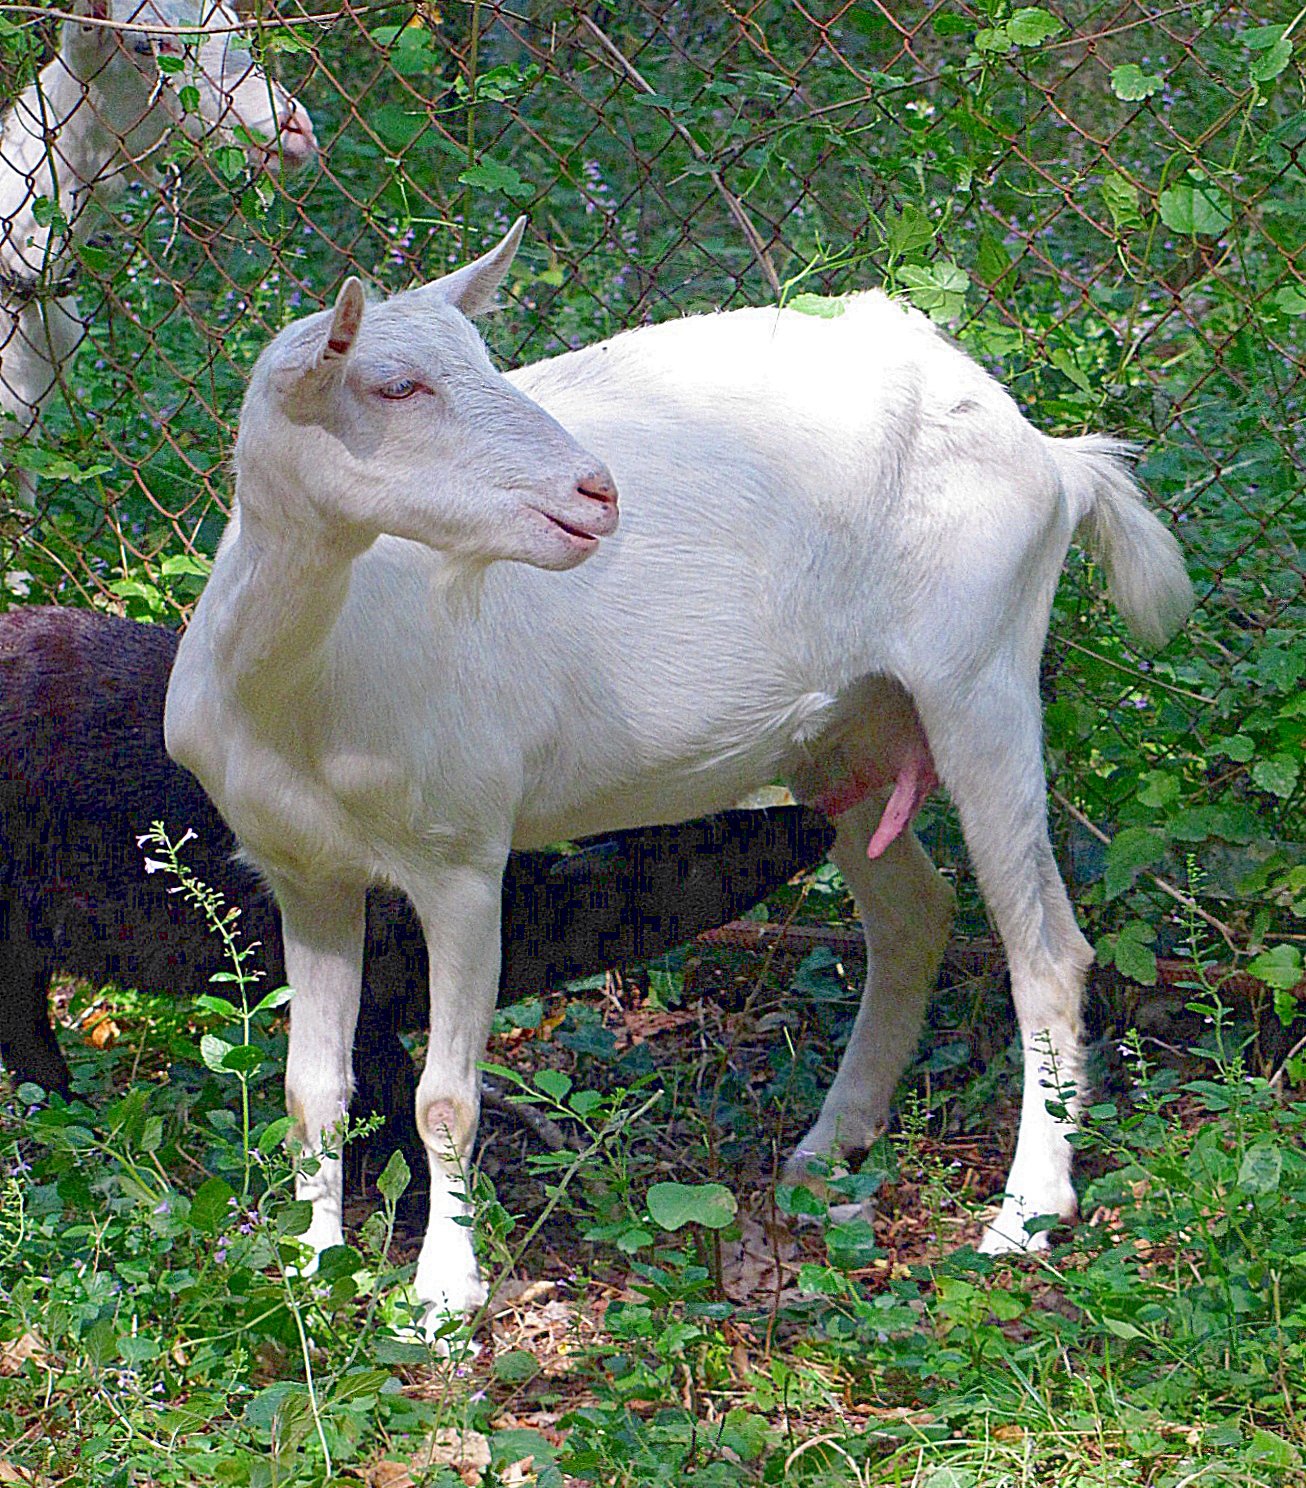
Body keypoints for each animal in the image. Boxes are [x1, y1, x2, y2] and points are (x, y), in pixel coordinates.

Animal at [168, 220, 1201, 1339]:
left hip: (983, 672)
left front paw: (444, 1297)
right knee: (914, 914)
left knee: (1046, 949)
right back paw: (828, 1149)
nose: (595, 492)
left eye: (482, 360)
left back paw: (1025, 1212)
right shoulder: (304, 876)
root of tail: (1051, 455)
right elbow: (311, 1087)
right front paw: (309, 1269)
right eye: (397, 386)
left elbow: (443, 1100)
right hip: (844, 734)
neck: (307, 687)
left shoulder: (462, 856)